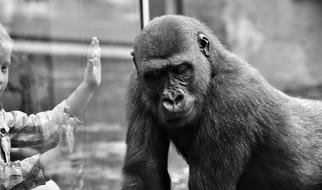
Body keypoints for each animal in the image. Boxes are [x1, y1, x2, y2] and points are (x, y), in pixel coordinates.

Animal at [122, 14, 322, 190]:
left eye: (180, 69)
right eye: (155, 76)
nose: (172, 98)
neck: (213, 67)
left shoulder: (232, 96)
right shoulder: (137, 85)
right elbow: (144, 171)